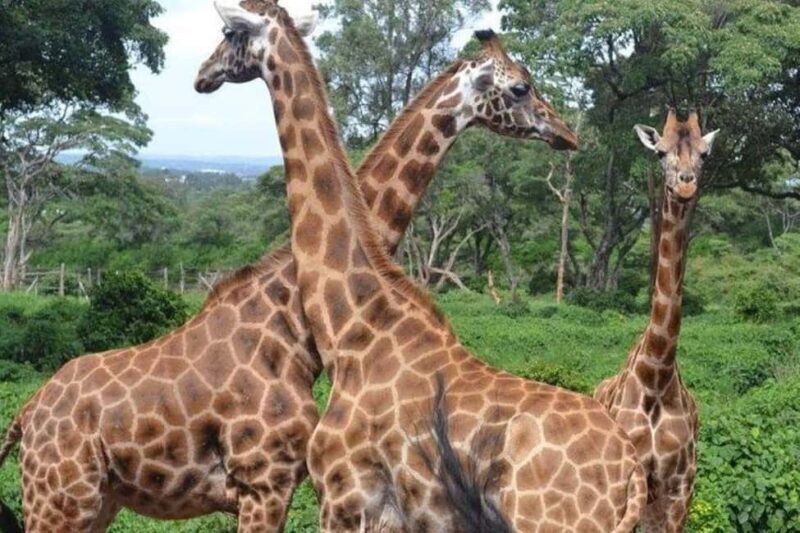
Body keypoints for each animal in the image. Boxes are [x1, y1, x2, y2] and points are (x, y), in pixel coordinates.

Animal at [0, 5, 580, 533]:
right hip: (60, 499)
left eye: (227, 34)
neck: (292, 322)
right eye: (522, 88)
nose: (568, 134)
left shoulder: (281, 483)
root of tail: (25, 415)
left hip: (98, 501)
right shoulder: (265, 481)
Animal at [196, 1, 647, 531]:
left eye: (229, 33)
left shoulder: (344, 496)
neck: (354, 328)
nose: (203, 76)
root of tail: (631, 472)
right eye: (522, 86)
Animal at [594, 110, 719, 532]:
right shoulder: (630, 481)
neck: (657, 372)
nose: (685, 183)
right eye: (660, 152)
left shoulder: (681, 486)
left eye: (704, 154)